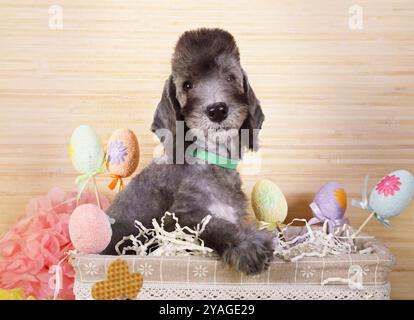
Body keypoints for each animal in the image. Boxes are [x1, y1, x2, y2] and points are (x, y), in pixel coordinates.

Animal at [101, 28, 274, 276]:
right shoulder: (179, 218)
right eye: (187, 85)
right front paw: (249, 245)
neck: (211, 159)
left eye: (230, 77)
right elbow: (213, 225)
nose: (217, 110)